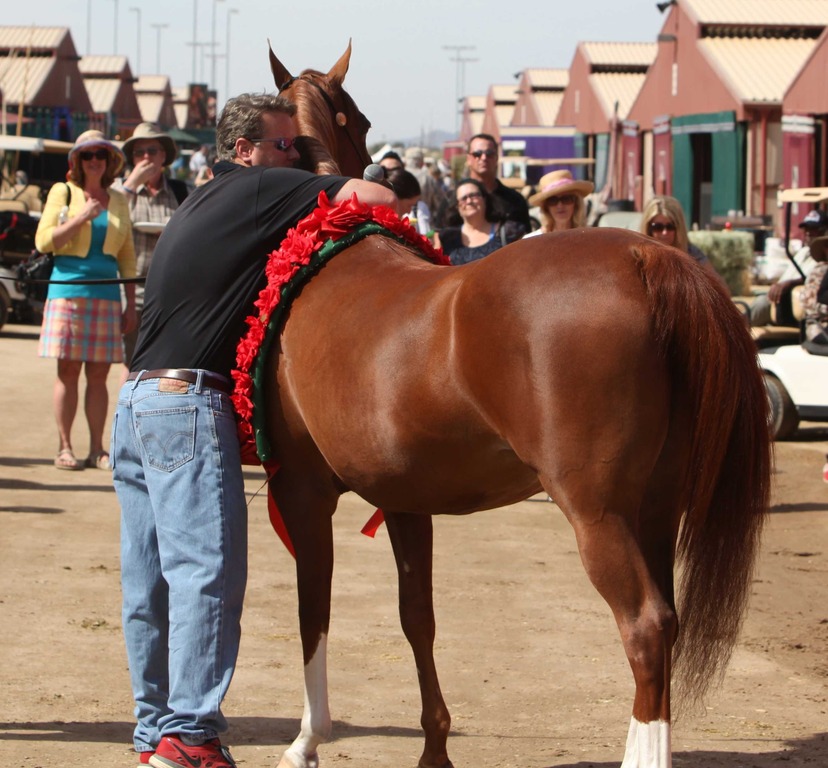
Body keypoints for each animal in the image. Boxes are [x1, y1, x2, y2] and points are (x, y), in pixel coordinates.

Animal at [261, 43, 771, 768]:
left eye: (359, 120)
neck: (325, 252)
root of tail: (646, 255)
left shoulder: (303, 491)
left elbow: (314, 611)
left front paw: (307, 739)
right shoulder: (405, 500)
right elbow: (417, 617)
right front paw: (434, 748)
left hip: (598, 513)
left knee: (644, 627)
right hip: (655, 506)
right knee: (667, 624)